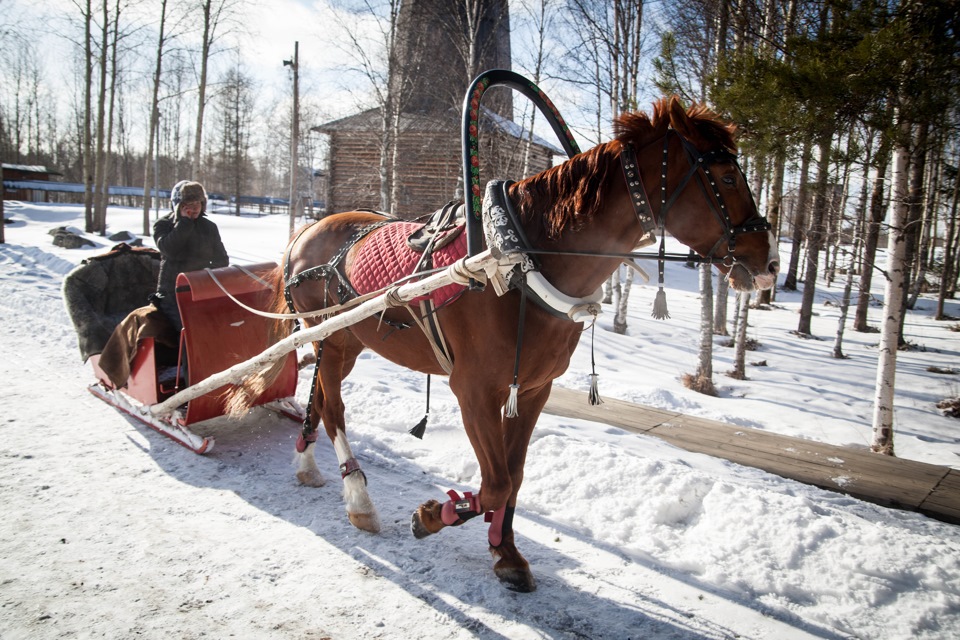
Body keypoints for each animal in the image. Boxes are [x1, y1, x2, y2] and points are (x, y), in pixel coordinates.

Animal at [231, 97, 780, 592]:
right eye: (726, 177)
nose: (769, 263)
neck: (517, 260)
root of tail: (308, 230)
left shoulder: (533, 390)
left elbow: (513, 477)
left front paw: (505, 551)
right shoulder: (473, 390)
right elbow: (494, 483)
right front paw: (438, 514)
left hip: (342, 344)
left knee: (318, 400)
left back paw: (307, 463)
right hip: (333, 338)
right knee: (334, 409)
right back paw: (358, 499)